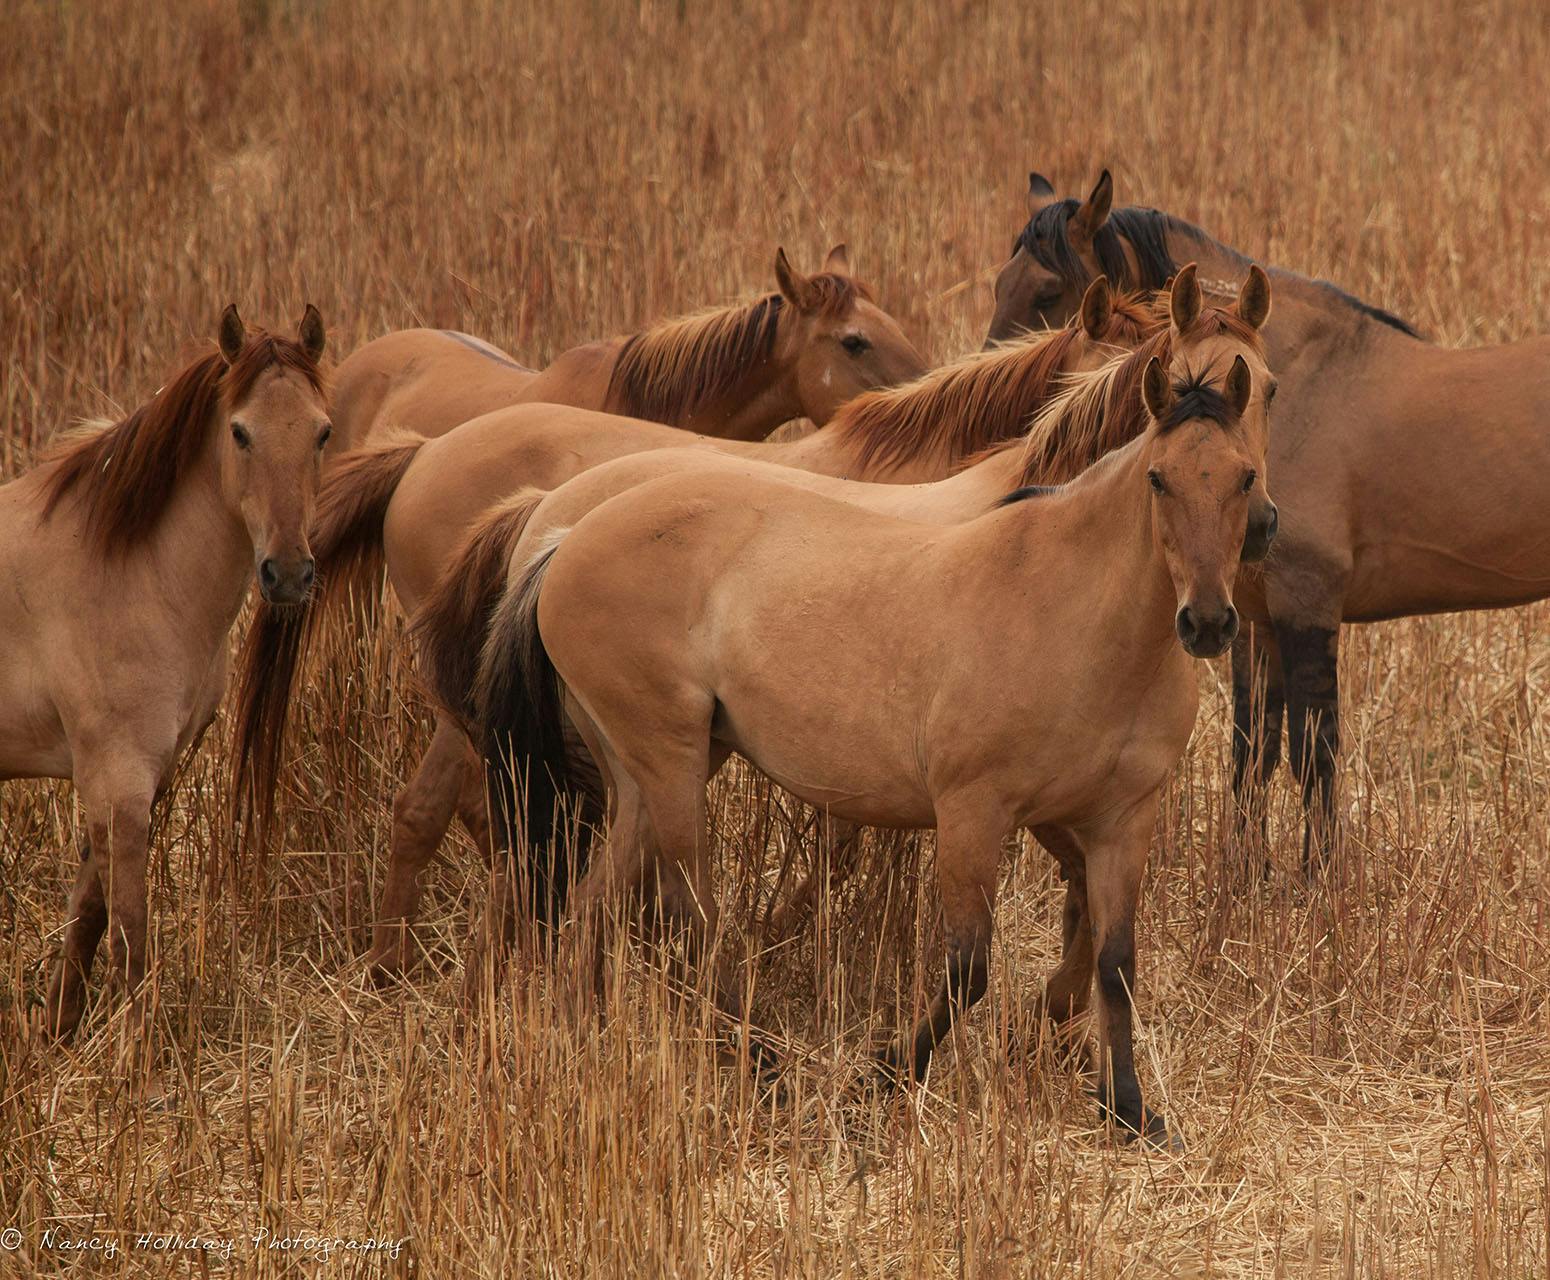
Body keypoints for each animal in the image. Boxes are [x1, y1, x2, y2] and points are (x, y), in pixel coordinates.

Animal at [0, 309, 327, 1035]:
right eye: (240, 432)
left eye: (323, 430)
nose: (289, 574)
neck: (131, 570)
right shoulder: (117, 782)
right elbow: (129, 936)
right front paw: (137, 1054)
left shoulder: (138, 779)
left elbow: (89, 915)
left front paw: (59, 1031)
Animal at [452, 283, 1277, 1140]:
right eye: (1158, 479)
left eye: (1243, 475)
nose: (1208, 622)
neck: (1075, 609)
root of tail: (562, 536)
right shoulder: (973, 812)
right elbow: (967, 966)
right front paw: (883, 1076)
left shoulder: (1120, 819)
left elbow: (1114, 958)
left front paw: (1130, 1108)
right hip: (668, 762)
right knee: (688, 917)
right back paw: (762, 1065)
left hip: (649, 773)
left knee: (590, 912)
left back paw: (577, 1045)